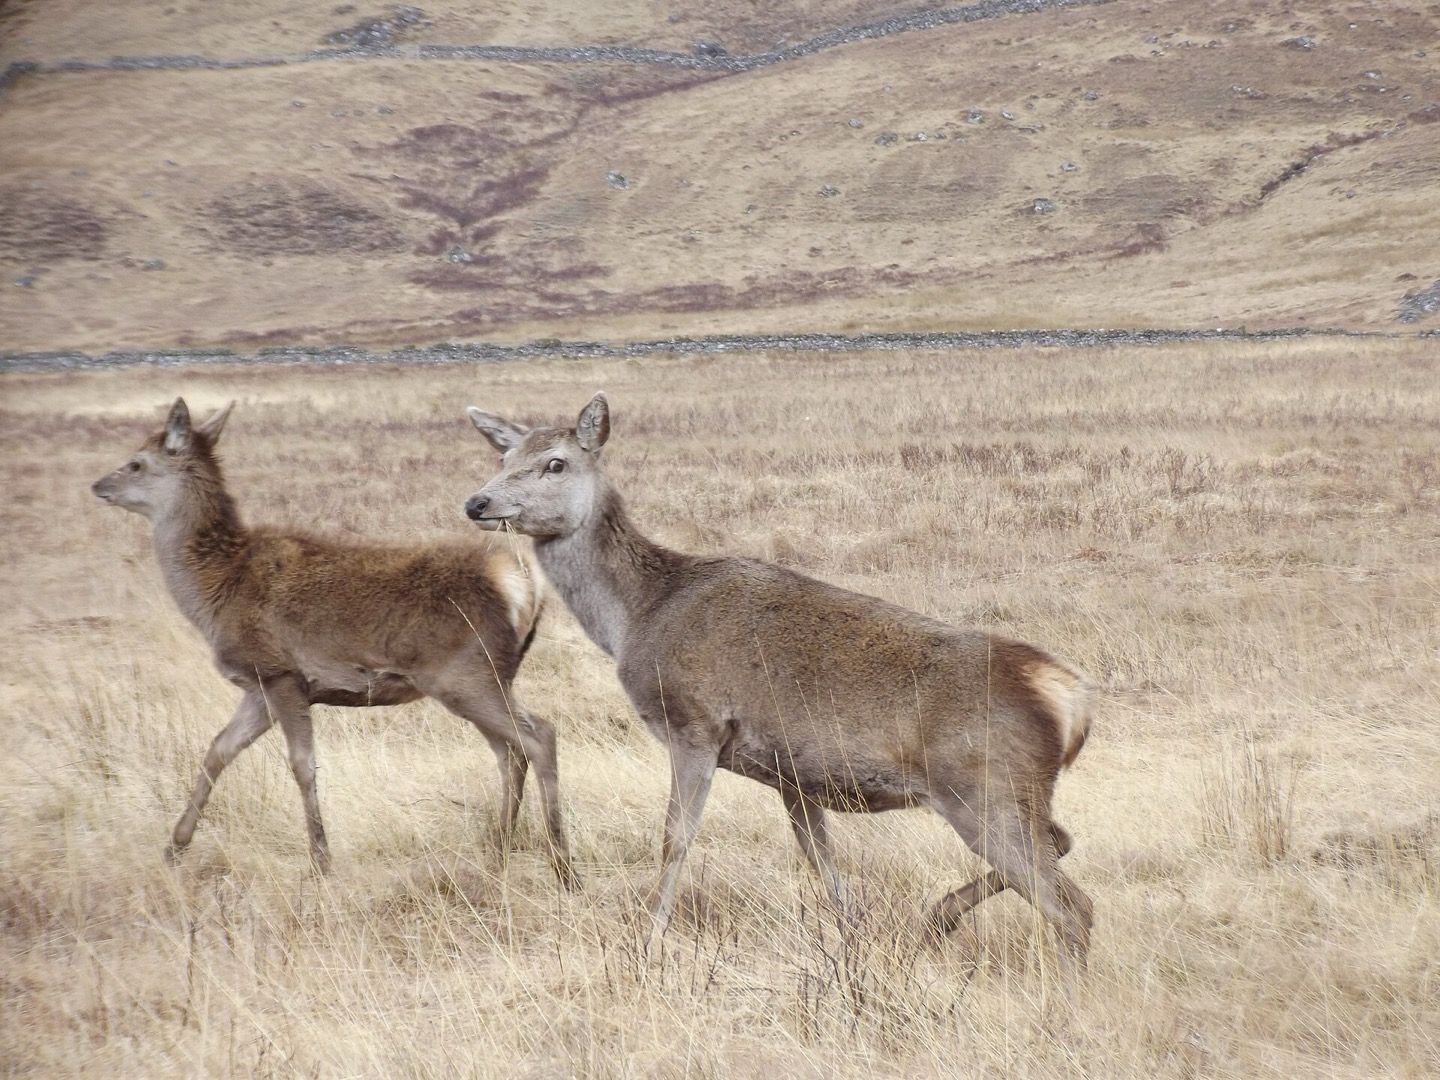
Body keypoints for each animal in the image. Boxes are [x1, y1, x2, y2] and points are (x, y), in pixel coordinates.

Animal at [91, 398, 577, 887]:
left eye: (136, 463)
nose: (98, 485)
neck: (215, 591)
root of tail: (523, 583)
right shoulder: (259, 687)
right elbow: (218, 750)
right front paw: (174, 846)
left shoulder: (280, 671)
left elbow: (301, 765)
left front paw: (320, 861)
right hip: (489, 677)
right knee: (510, 751)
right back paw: (498, 852)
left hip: (465, 674)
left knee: (539, 737)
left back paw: (561, 864)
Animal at [460, 392, 1096, 959]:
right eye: (503, 457)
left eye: (555, 462)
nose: (478, 502)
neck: (639, 615)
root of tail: (1071, 700)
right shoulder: (793, 775)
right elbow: (821, 859)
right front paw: (854, 942)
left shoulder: (695, 723)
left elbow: (674, 840)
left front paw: (647, 942)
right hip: (1009, 793)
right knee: (1064, 848)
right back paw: (938, 918)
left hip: (983, 786)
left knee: (1073, 907)